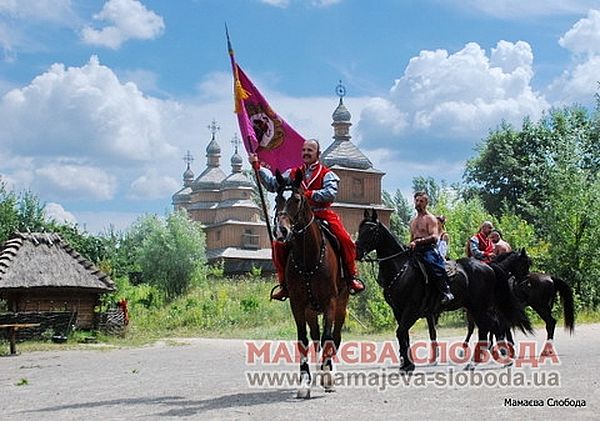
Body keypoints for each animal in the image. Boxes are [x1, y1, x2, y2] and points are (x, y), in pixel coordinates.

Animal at [274, 168, 350, 398]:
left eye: (297, 199)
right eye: (277, 199)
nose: (281, 231)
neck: (309, 256)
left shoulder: (330, 302)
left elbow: (328, 337)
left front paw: (328, 376)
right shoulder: (298, 305)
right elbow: (304, 341)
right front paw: (305, 383)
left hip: (341, 306)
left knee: (334, 337)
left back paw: (329, 371)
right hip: (310, 311)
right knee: (316, 339)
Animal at [354, 209, 532, 370]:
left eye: (371, 230)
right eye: (360, 228)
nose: (357, 252)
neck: (401, 269)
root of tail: (488, 268)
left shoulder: (412, 309)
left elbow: (401, 332)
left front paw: (409, 364)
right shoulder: (398, 310)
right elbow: (404, 335)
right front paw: (406, 363)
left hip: (480, 306)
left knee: (491, 326)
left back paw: (492, 358)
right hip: (475, 307)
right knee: (486, 327)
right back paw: (478, 360)